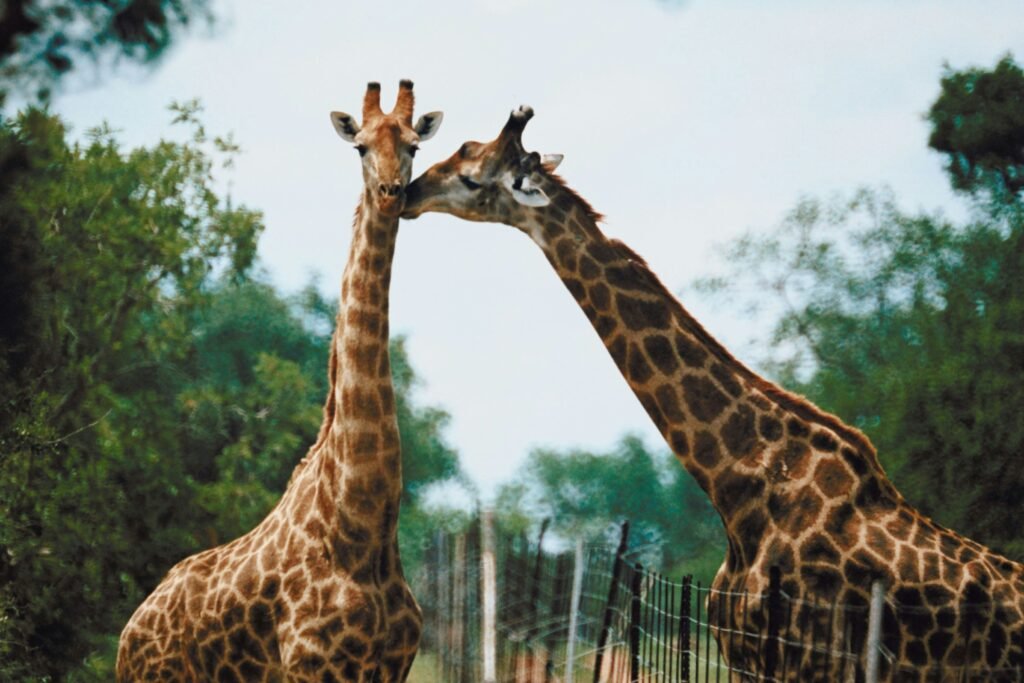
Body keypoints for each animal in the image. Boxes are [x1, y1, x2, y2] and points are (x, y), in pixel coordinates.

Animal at [116, 81, 443, 682]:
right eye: (360, 147)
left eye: (413, 145)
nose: (390, 193)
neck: (361, 533)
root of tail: (129, 634)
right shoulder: (315, 668)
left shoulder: (391, 667)